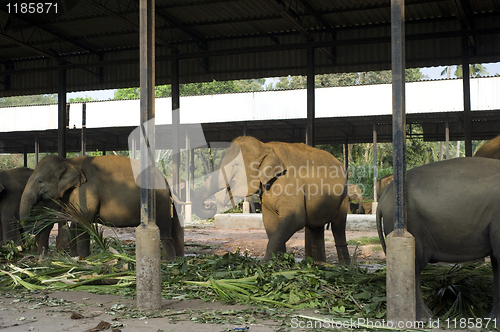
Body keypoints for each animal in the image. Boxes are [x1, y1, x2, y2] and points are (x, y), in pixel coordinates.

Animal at [20, 154, 184, 260]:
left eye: (39, 181)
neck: (68, 161)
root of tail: (165, 179)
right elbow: (75, 224)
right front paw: (75, 257)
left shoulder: (86, 190)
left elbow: (83, 223)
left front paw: (85, 258)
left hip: (160, 200)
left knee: (163, 228)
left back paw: (168, 261)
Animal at [193, 136, 350, 264]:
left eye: (236, 165)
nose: (209, 205)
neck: (265, 146)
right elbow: (269, 222)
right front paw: (279, 262)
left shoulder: (290, 183)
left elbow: (295, 219)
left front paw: (263, 264)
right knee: (316, 228)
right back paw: (318, 264)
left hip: (343, 197)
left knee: (338, 227)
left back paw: (344, 267)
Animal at [376, 158, 500, 322]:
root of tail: (382, 199)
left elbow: (496, 261)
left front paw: (494, 319)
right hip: (413, 223)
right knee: (416, 266)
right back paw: (424, 318)